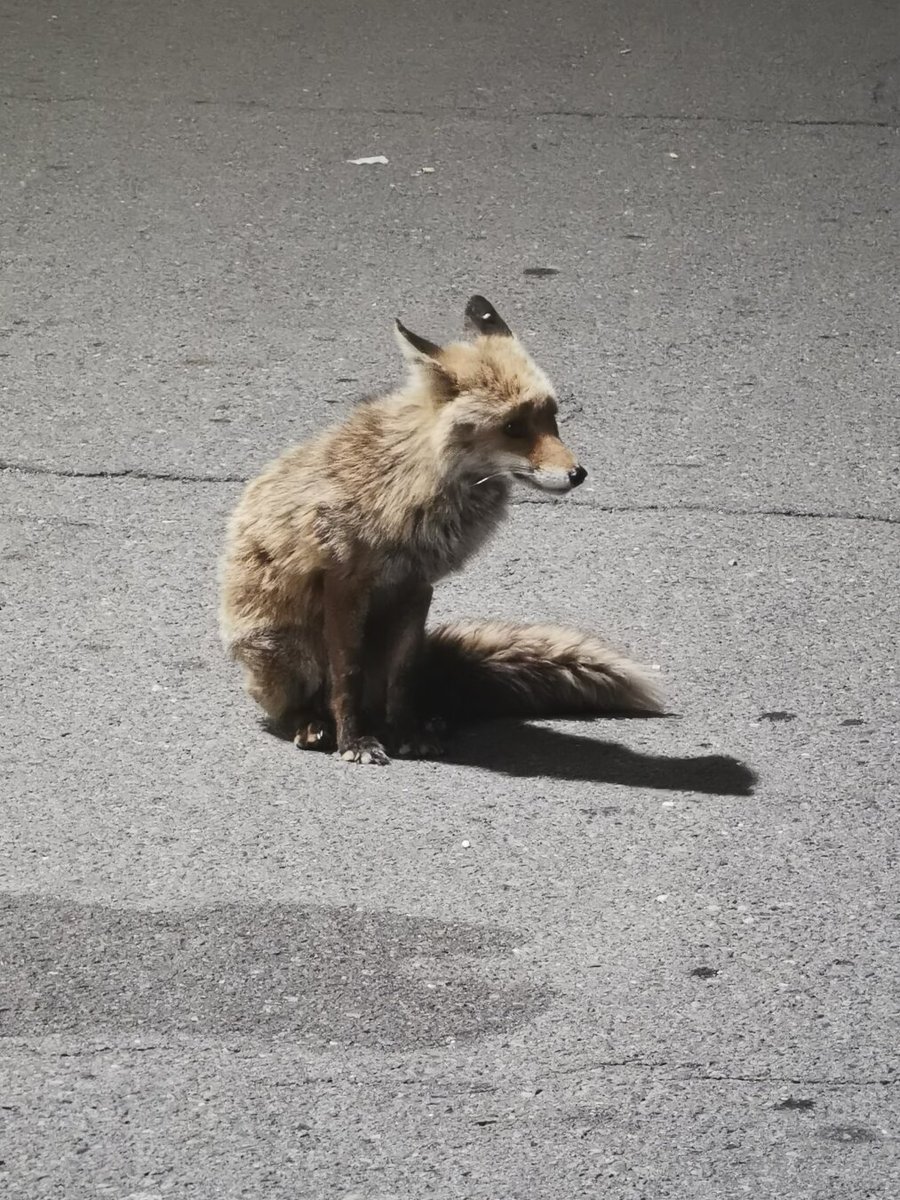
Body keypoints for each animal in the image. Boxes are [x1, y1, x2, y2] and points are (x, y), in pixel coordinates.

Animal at [218, 294, 662, 764]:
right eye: (512, 427)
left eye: (552, 419)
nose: (578, 474)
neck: (414, 484)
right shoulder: (344, 582)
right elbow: (346, 677)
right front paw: (354, 742)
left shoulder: (418, 585)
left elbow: (402, 677)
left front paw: (407, 732)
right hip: (286, 648)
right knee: (299, 705)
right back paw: (312, 725)